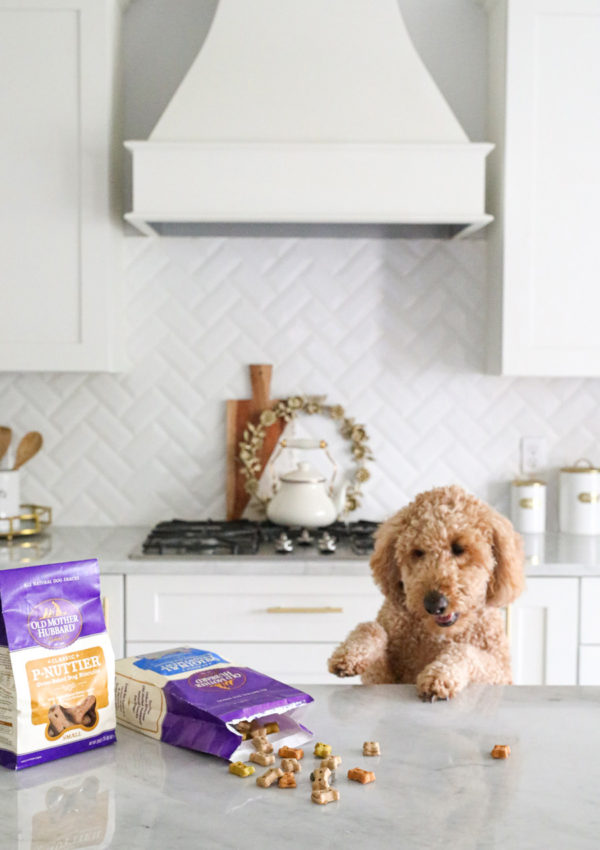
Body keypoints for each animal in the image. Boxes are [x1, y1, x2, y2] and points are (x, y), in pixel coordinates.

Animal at [328, 480, 524, 700]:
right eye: (417, 552)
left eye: (459, 548)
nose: (434, 604)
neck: (439, 634)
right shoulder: (381, 678)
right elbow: (370, 628)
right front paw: (349, 654)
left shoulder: (501, 673)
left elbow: (464, 651)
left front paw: (439, 676)